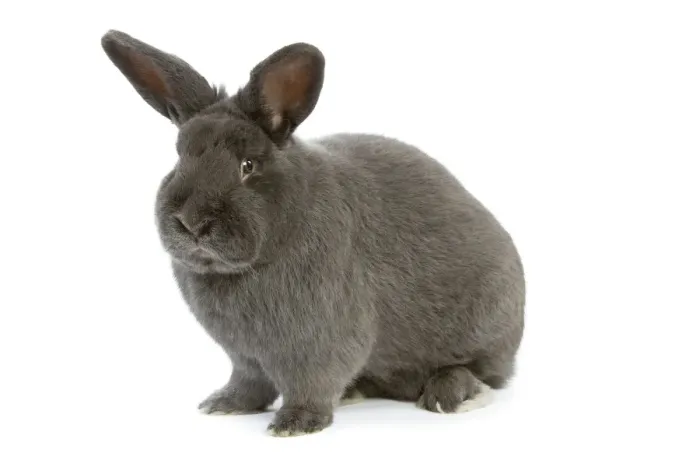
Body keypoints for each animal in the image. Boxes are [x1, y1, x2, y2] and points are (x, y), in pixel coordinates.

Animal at [100, 29, 526, 437]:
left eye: (248, 165)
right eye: (179, 158)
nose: (192, 222)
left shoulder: (323, 342)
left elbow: (312, 384)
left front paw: (295, 424)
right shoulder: (244, 356)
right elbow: (248, 383)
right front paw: (223, 404)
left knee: (480, 372)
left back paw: (449, 395)